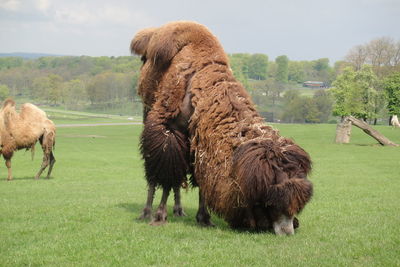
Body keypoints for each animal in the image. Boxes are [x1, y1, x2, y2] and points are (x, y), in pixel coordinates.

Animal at [131, 22, 312, 236]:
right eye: (271, 198)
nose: (287, 230)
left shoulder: (198, 143)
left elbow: (202, 181)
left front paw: (204, 218)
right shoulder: (170, 133)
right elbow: (166, 177)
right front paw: (159, 217)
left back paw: (179, 210)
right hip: (148, 115)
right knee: (155, 174)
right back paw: (146, 212)